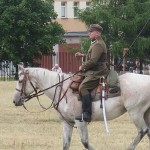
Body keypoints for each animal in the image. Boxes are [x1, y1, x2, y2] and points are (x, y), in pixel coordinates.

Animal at [12, 65, 150, 149]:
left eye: (20, 80)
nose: (14, 100)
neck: (63, 90)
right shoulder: (67, 123)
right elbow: (66, 144)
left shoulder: (80, 121)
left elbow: (85, 142)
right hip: (145, 114)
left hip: (135, 112)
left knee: (143, 130)